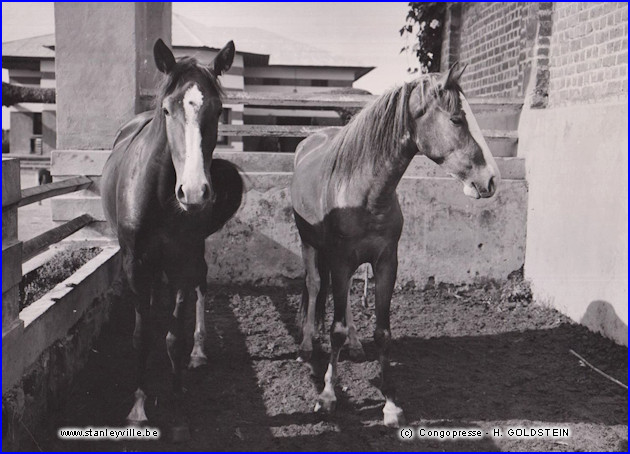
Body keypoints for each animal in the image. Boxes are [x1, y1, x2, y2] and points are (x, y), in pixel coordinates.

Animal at [102, 38, 243, 430]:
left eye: (218, 110)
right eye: (166, 110)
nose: (193, 192)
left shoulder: (183, 258)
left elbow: (174, 334)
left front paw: (178, 395)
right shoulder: (134, 263)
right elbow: (142, 335)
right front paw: (138, 405)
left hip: (194, 255)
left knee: (201, 285)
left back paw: (198, 350)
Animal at [292, 65, 504, 428]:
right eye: (457, 119)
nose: (490, 180)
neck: (362, 190)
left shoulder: (385, 263)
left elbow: (382, 332)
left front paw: (390, 404)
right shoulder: (340, 260)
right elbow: (334, 329)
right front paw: (328, 395)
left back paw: (355, 344)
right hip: (310, 244)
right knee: (314, 284)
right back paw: (307, 343)